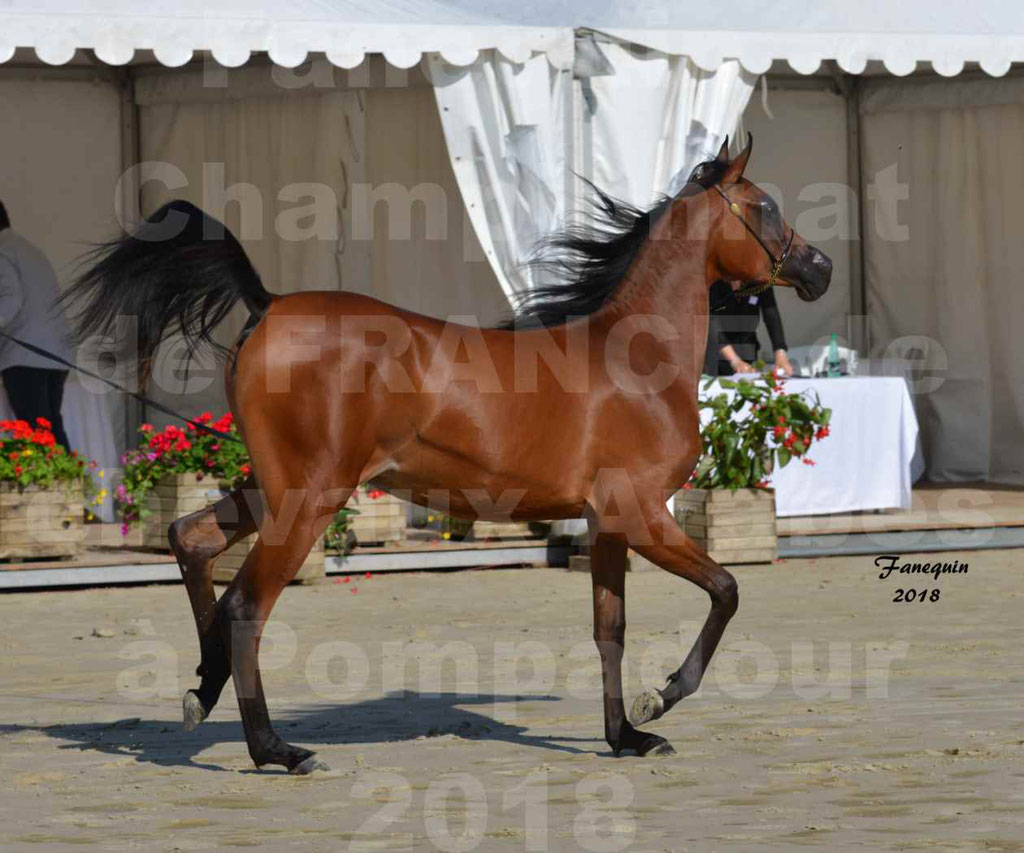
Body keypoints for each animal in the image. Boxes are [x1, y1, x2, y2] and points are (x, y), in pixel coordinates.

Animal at [66, 135, 831, 770]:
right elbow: (726, 590)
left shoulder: (608, 522)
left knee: (191, 539)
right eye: (763, 208)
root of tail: (269, 303)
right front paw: (660, 698)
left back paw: (203, 689)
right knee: (247, 607)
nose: (819, 267)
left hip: (270, 489)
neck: (634, 358)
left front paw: (628, 736)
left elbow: (608, 628)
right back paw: (275, 750)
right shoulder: (643, 514)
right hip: (308, 501)